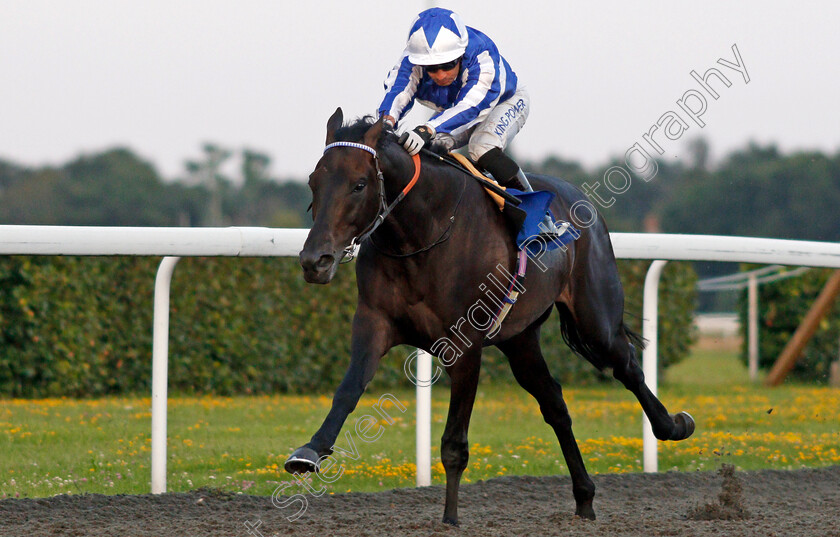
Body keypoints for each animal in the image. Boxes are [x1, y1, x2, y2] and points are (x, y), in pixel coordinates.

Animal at [286, 108, 692, 524]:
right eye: (314, 181)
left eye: (359, 184)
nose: (315, 261)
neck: (423, 233)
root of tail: (579, 198)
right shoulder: (373, 322)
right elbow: (348, 389)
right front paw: (310, 451)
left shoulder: (464, 346)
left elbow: (454, 443)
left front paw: (450, 518)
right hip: (521, 339)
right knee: (555, 404)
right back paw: (584, 497)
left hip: (595, 316)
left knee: (627, 365)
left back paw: (673, 425)